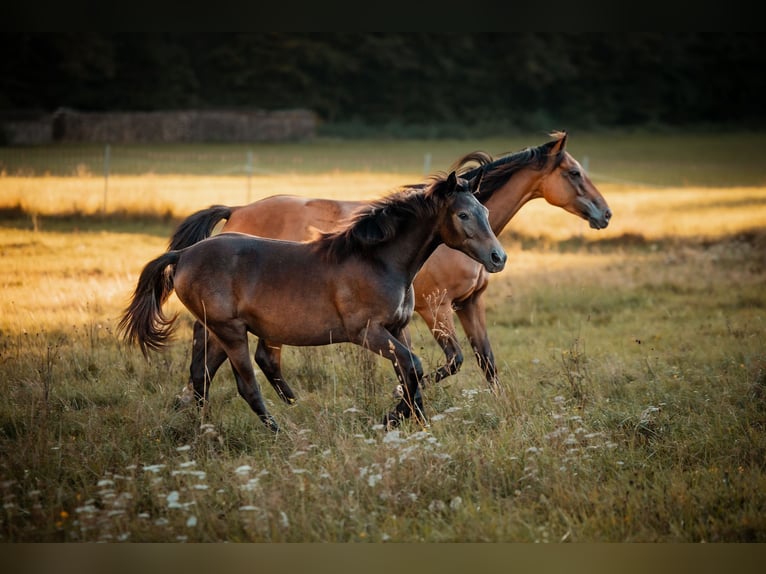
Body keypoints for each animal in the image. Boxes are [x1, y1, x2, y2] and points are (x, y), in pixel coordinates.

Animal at [117, 173, 508, 434]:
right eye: (462, 215)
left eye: (485, 212)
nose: (498, 257)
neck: (378, 260)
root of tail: (182, 255)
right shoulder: (368, 333)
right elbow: (414, 366)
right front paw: (395, 420)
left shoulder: (397, 328)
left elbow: (411, 372)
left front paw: (412, 420)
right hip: (230, 332)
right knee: (246, 385)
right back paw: (281, 434)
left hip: (217, 332)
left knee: (201, 378)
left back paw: (202, 431)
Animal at [171, 130, 616, 396]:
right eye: (575, 173)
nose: (605, 214)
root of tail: (236, 210)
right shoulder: (435, 308)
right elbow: (452, 361)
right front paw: (408, 393)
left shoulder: (469, 304)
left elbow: (486, 360)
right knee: (246, 355)